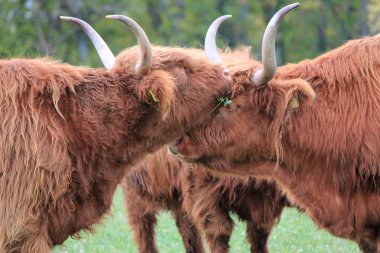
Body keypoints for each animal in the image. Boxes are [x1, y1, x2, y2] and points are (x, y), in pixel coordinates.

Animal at [123, 146, 286, 253]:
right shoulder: (203, 193)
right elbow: (219, 233)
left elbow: (259, 237)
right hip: (136, 191)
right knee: (144, 230)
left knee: (187, 232)